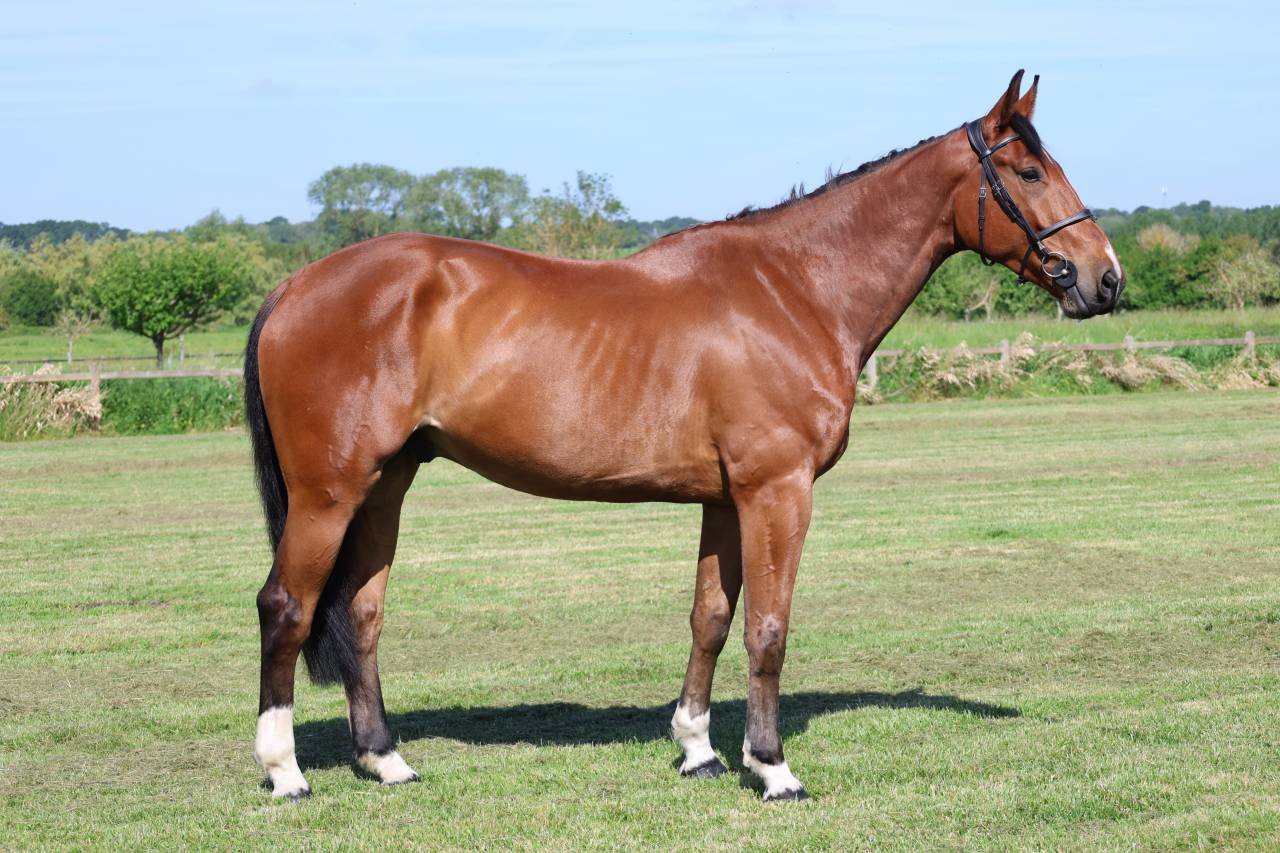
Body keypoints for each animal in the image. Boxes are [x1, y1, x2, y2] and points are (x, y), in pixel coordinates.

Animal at [245, 70, 1123, 802]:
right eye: (1029, 172)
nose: (1105, 277)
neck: (797, 288)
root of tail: (296, 284)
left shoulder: (725, 501)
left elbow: (711, 617)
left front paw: (698, 749)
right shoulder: (777, 492)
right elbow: (768, 625)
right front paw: (772, 766)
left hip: (384, 484)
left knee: (361, 612)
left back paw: (385, 759)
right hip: (328, 493)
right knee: (286, 606)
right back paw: (286, 771)